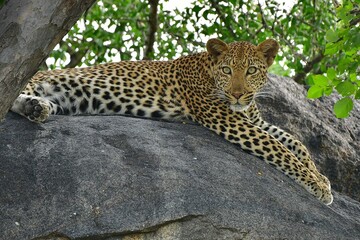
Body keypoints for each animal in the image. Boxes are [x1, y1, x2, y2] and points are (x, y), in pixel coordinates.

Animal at [9, 38, 334, 204]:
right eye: (227, 70)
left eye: (252, 70)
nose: (238, 93)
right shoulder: (228, 119)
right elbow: (279, 147)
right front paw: (317, 185)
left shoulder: (251, 118)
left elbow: (295, 141)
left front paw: (321, 177)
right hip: (34, 80)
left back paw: (36, 108)